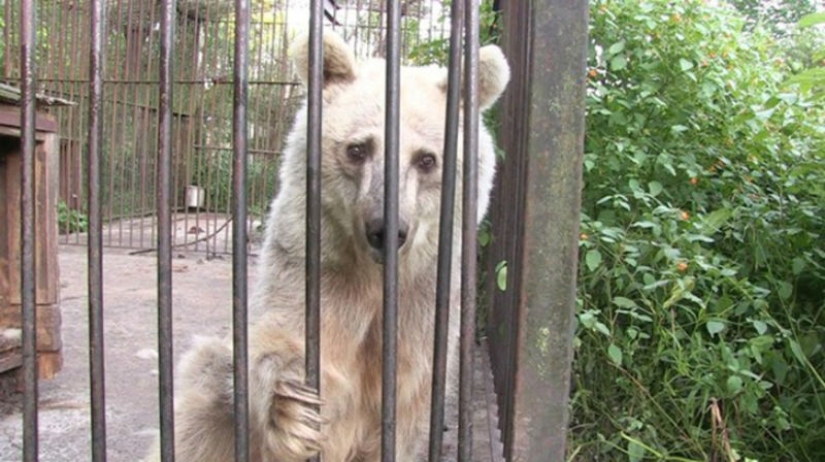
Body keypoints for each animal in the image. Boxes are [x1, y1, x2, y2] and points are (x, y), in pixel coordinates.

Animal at [145, 30, 509, 462]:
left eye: (426, 159)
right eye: (358, 148)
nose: (386, 229)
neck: (373, 273)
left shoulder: (425, 296)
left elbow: (406, 398)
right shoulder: (316, 265)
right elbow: (285, 340)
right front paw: (292, 410)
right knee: (200, 406)